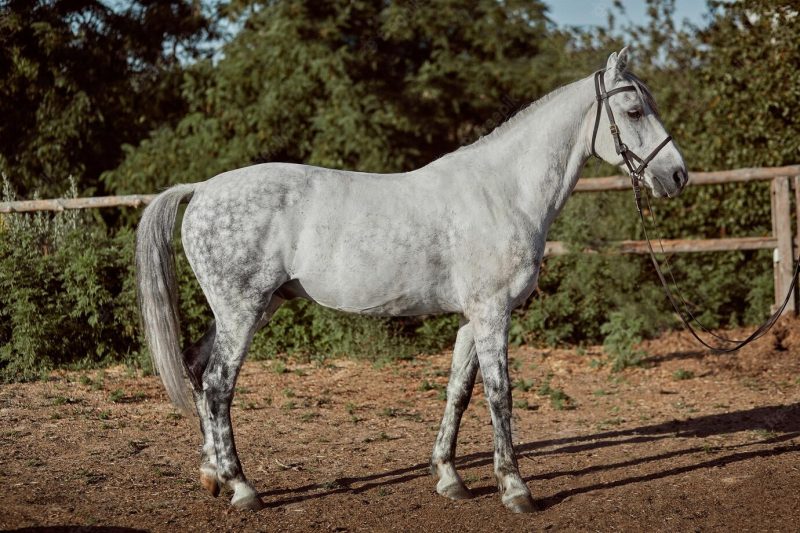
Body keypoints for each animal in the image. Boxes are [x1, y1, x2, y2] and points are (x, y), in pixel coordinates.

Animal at [138, 47, 688, 512]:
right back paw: (242, 487)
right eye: (634, 111)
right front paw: (515, 488)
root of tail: (202, 188)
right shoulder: (493, 313)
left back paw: (212, 475)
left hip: (252, 307)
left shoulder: (473, 317)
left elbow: (459, 392)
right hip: (242, 309)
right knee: (217, 385)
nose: (677, 176)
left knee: (197, 369)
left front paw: (449, 477)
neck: (503, 192)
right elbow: (500, 394)